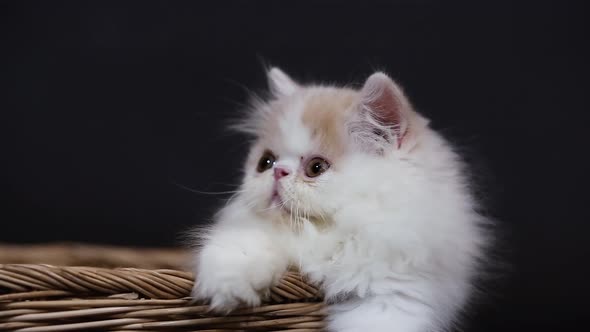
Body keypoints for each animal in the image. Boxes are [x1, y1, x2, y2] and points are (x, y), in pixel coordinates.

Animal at [191, 68, 490, 332]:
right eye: (265, 162)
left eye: (316, 168)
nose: (278, 172)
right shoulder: (254, 229)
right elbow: (243, 243)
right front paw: (228, 289)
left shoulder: (396, 295)